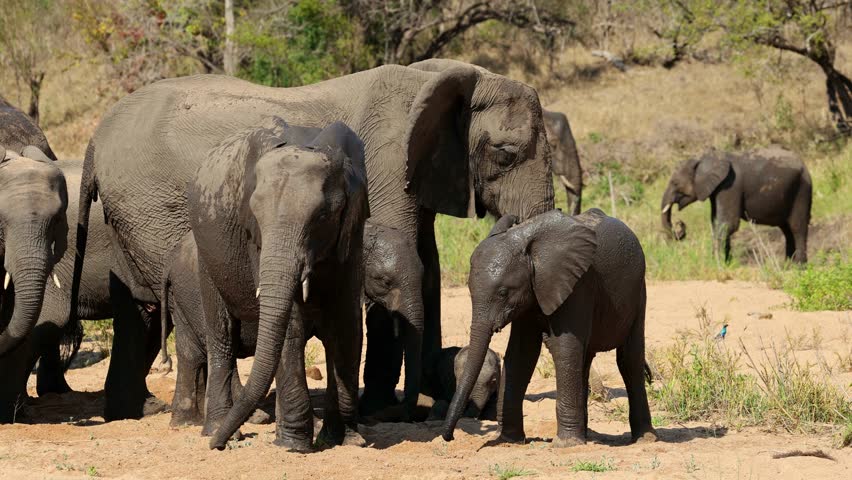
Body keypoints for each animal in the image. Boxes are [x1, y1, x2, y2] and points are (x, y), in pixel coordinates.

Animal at [70, 60, 554, 421]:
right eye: (505, 155)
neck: (450, 79)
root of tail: (93, 139)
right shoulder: (388, 164)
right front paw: (385, 410)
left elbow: (426, 264)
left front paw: (431, 394)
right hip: (153, 207)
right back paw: (243, 412)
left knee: (143, 313)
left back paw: (141, 410)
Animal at [443, 209, 656, 448]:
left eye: (503, 292)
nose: (450, 437)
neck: (527, 244)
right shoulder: (531, 291)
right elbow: (520, 354)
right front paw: (509, 440)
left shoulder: (579, 284)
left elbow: (564, 348)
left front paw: (566, 444)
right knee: (585, 359)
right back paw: (587, 436)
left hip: (638, 290)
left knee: (629, 360)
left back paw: (644, 438)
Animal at [661, 146, 812, 263]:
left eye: (675, 183)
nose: (680, 223)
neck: (706, 157)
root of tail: (805, 167)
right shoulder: (717, 189)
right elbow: (718, 223)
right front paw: (725, 263)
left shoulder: (730, 185)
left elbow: (728, 223)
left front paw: (718, 264)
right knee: (787, 230)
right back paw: (788, 266)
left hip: (802, 191)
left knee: (797, 227)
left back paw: (799, 267)